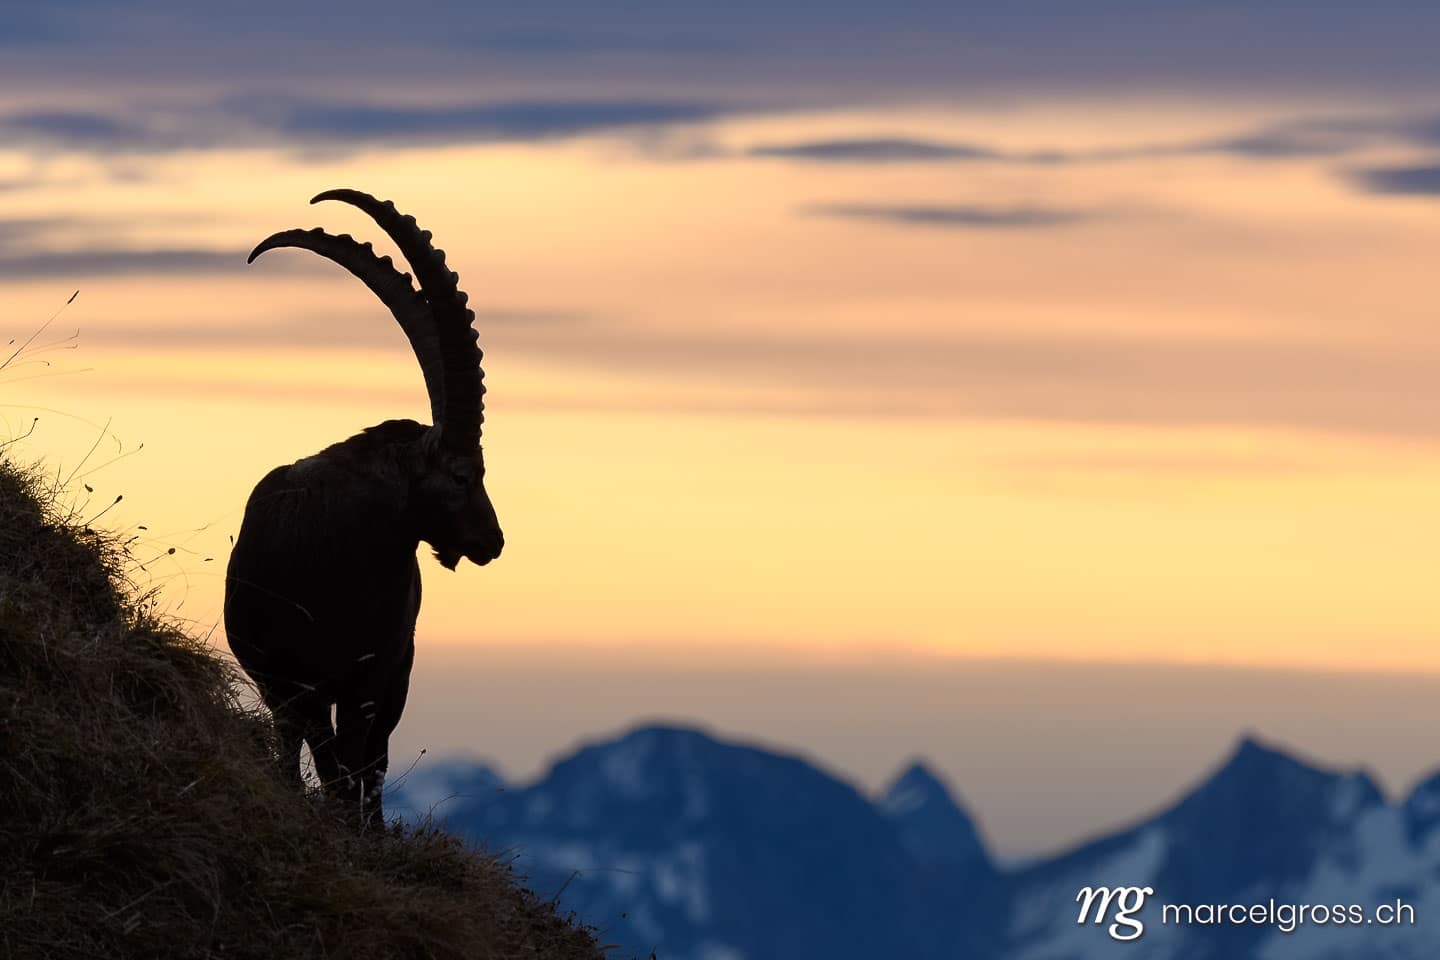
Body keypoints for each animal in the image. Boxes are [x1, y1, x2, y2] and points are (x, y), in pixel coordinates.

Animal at [224, 189, 503, 826]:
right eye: (462, 474)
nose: (492, 541)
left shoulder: (376, 673)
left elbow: (363, 764)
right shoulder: (297, 679)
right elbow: (331, 765)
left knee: (368, 759)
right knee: (303, 747)